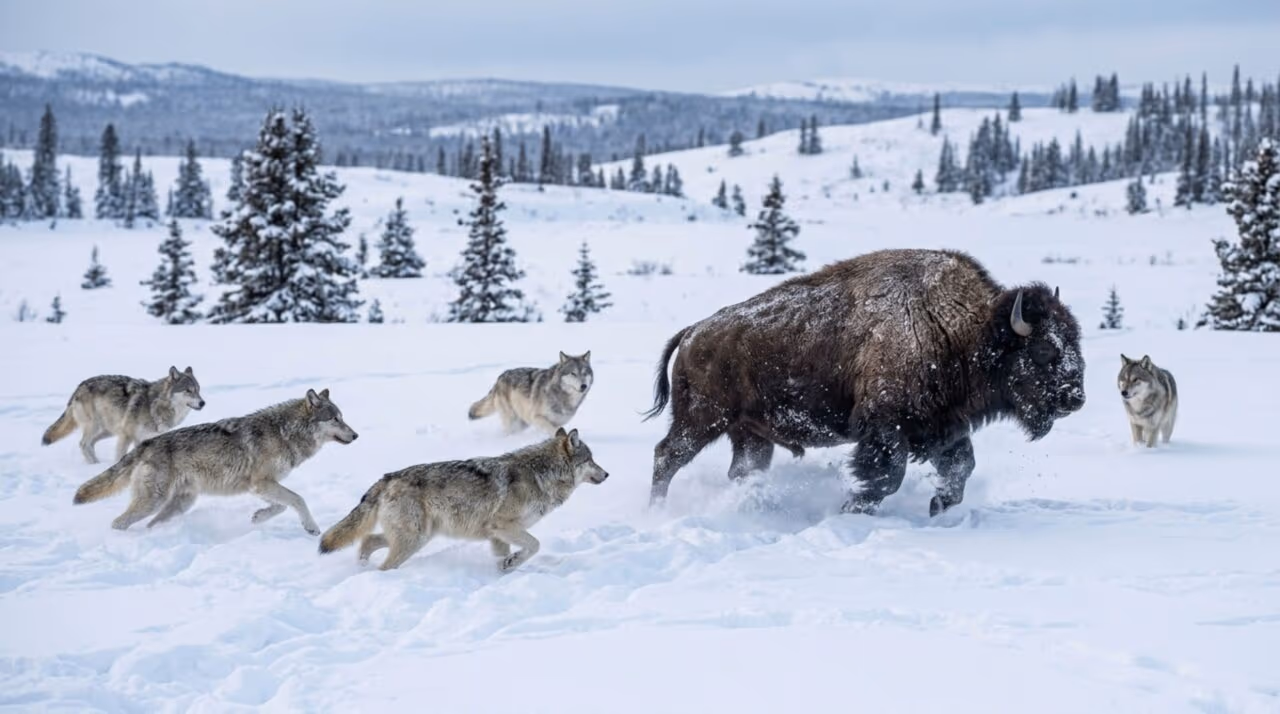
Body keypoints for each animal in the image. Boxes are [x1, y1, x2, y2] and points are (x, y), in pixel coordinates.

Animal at [42, 366, 206, 464]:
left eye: (198, 390)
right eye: (188, 390)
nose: (203, 403)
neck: (154, 405)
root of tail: (79, 386)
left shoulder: (145, 439)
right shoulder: (127, 435)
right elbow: (120, 457)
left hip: (109, 431)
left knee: (90, 444)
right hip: (97, 426)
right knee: (83, 444)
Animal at [72, 388, 358, 533]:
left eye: (342, 418)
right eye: (335, 419)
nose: (356, 435)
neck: (284, 432)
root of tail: (146, 444)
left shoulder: (261, 486)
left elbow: (281, 506)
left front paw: (259, 517)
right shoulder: (262, 483)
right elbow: (297, 500)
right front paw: (311, 528)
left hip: (179, 504)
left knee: (151, 524)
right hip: (152, 502)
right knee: (119, 522)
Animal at [319, 427, 608, 572]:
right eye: (591, 460)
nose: (607, 474)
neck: (541, 473)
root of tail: (387, 477)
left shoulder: (497, 536)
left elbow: (509, 556)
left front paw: (506, 569)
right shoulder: (502, 526)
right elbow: (534, 545)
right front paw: (511, 563)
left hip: (418, 536)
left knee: (367, 540)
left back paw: (361, 566)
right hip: (414, 539)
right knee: (383, 563)